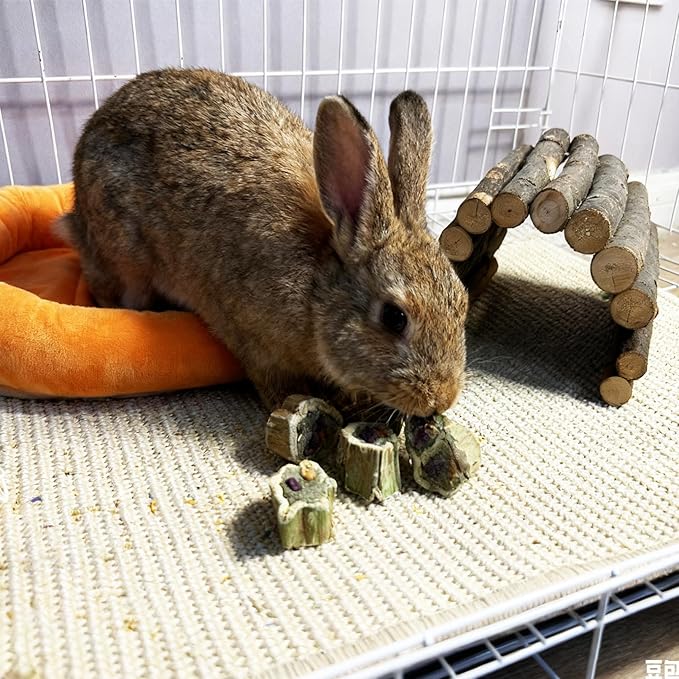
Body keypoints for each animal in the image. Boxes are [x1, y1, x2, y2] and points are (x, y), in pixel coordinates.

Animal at [58, 68, 468, 418]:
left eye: (463, 302)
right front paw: (293, 403)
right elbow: (272, 382)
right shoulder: (254, 340)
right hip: (124, 258)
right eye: (394, 318)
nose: (441, 399)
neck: (316, 293)